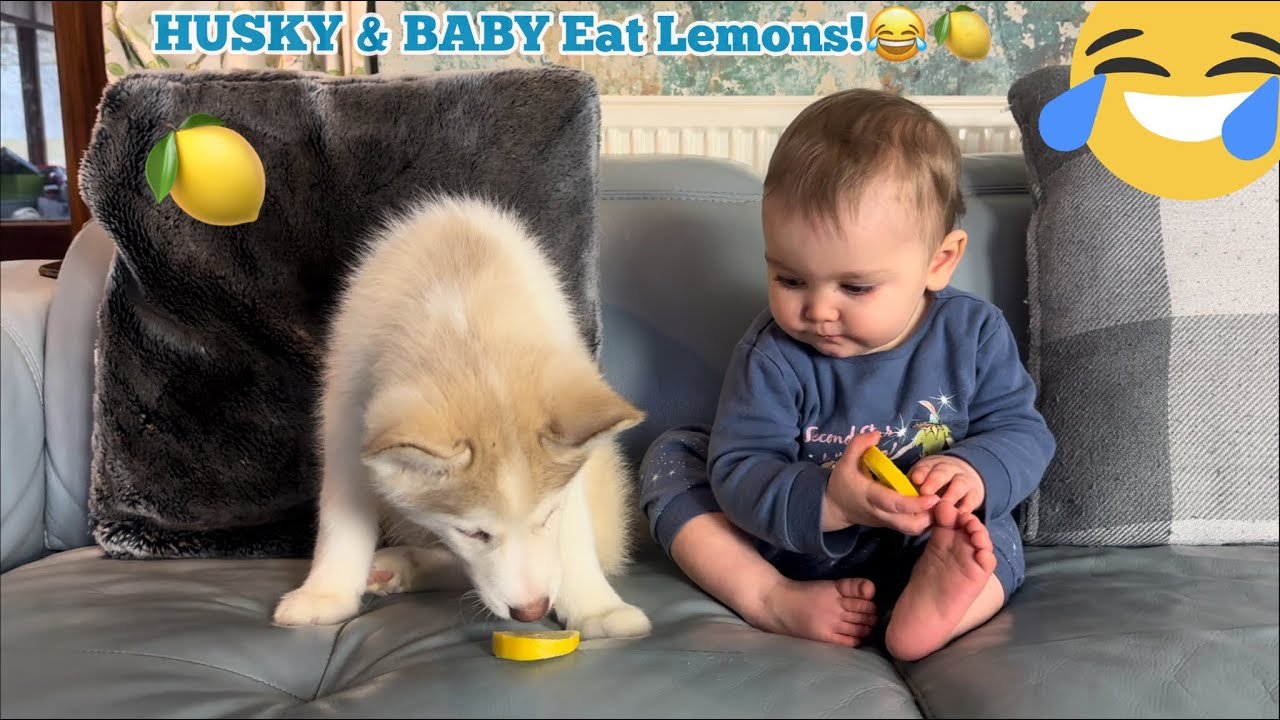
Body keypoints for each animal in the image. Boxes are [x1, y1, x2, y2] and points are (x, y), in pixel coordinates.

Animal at [270, 193, 650, 635]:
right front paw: (325, 593)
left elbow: (572, 536)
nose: (531, 611)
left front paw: (597, 608)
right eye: (474, 532)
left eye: (546, 518)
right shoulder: (346, 417)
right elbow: (340, 520)